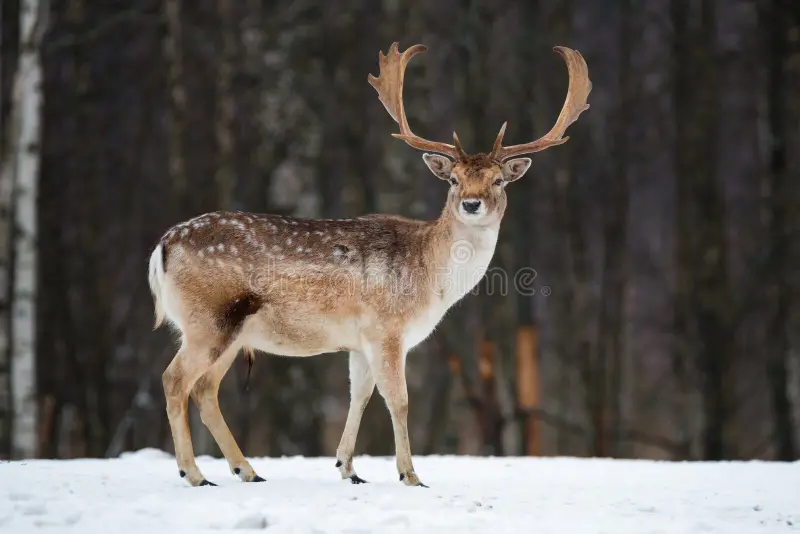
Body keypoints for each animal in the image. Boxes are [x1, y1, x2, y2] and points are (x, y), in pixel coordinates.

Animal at [147, 42, 591, 488]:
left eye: (498, 180)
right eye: (453, 180)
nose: (470, 203)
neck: (432, 281)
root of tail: (162, 248)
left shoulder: (359, 340)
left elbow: (359, 395)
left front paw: (348, 468)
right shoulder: (386, 327)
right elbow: (398, 399)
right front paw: (410, 475)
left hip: (232, 331)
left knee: (204, 389)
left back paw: (247, 470)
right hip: (209, 318)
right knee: (174, 380)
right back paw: (194, 473)